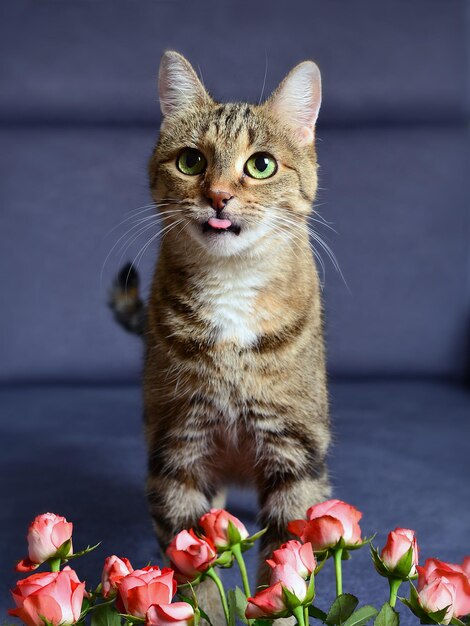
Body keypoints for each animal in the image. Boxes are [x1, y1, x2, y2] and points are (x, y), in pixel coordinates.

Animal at [111, 48, 330, 608]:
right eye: (191, 161)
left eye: (261, 165)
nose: (218, 196)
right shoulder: (177, 448)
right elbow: (194, 569)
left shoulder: (294, 448)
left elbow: (287, 563)